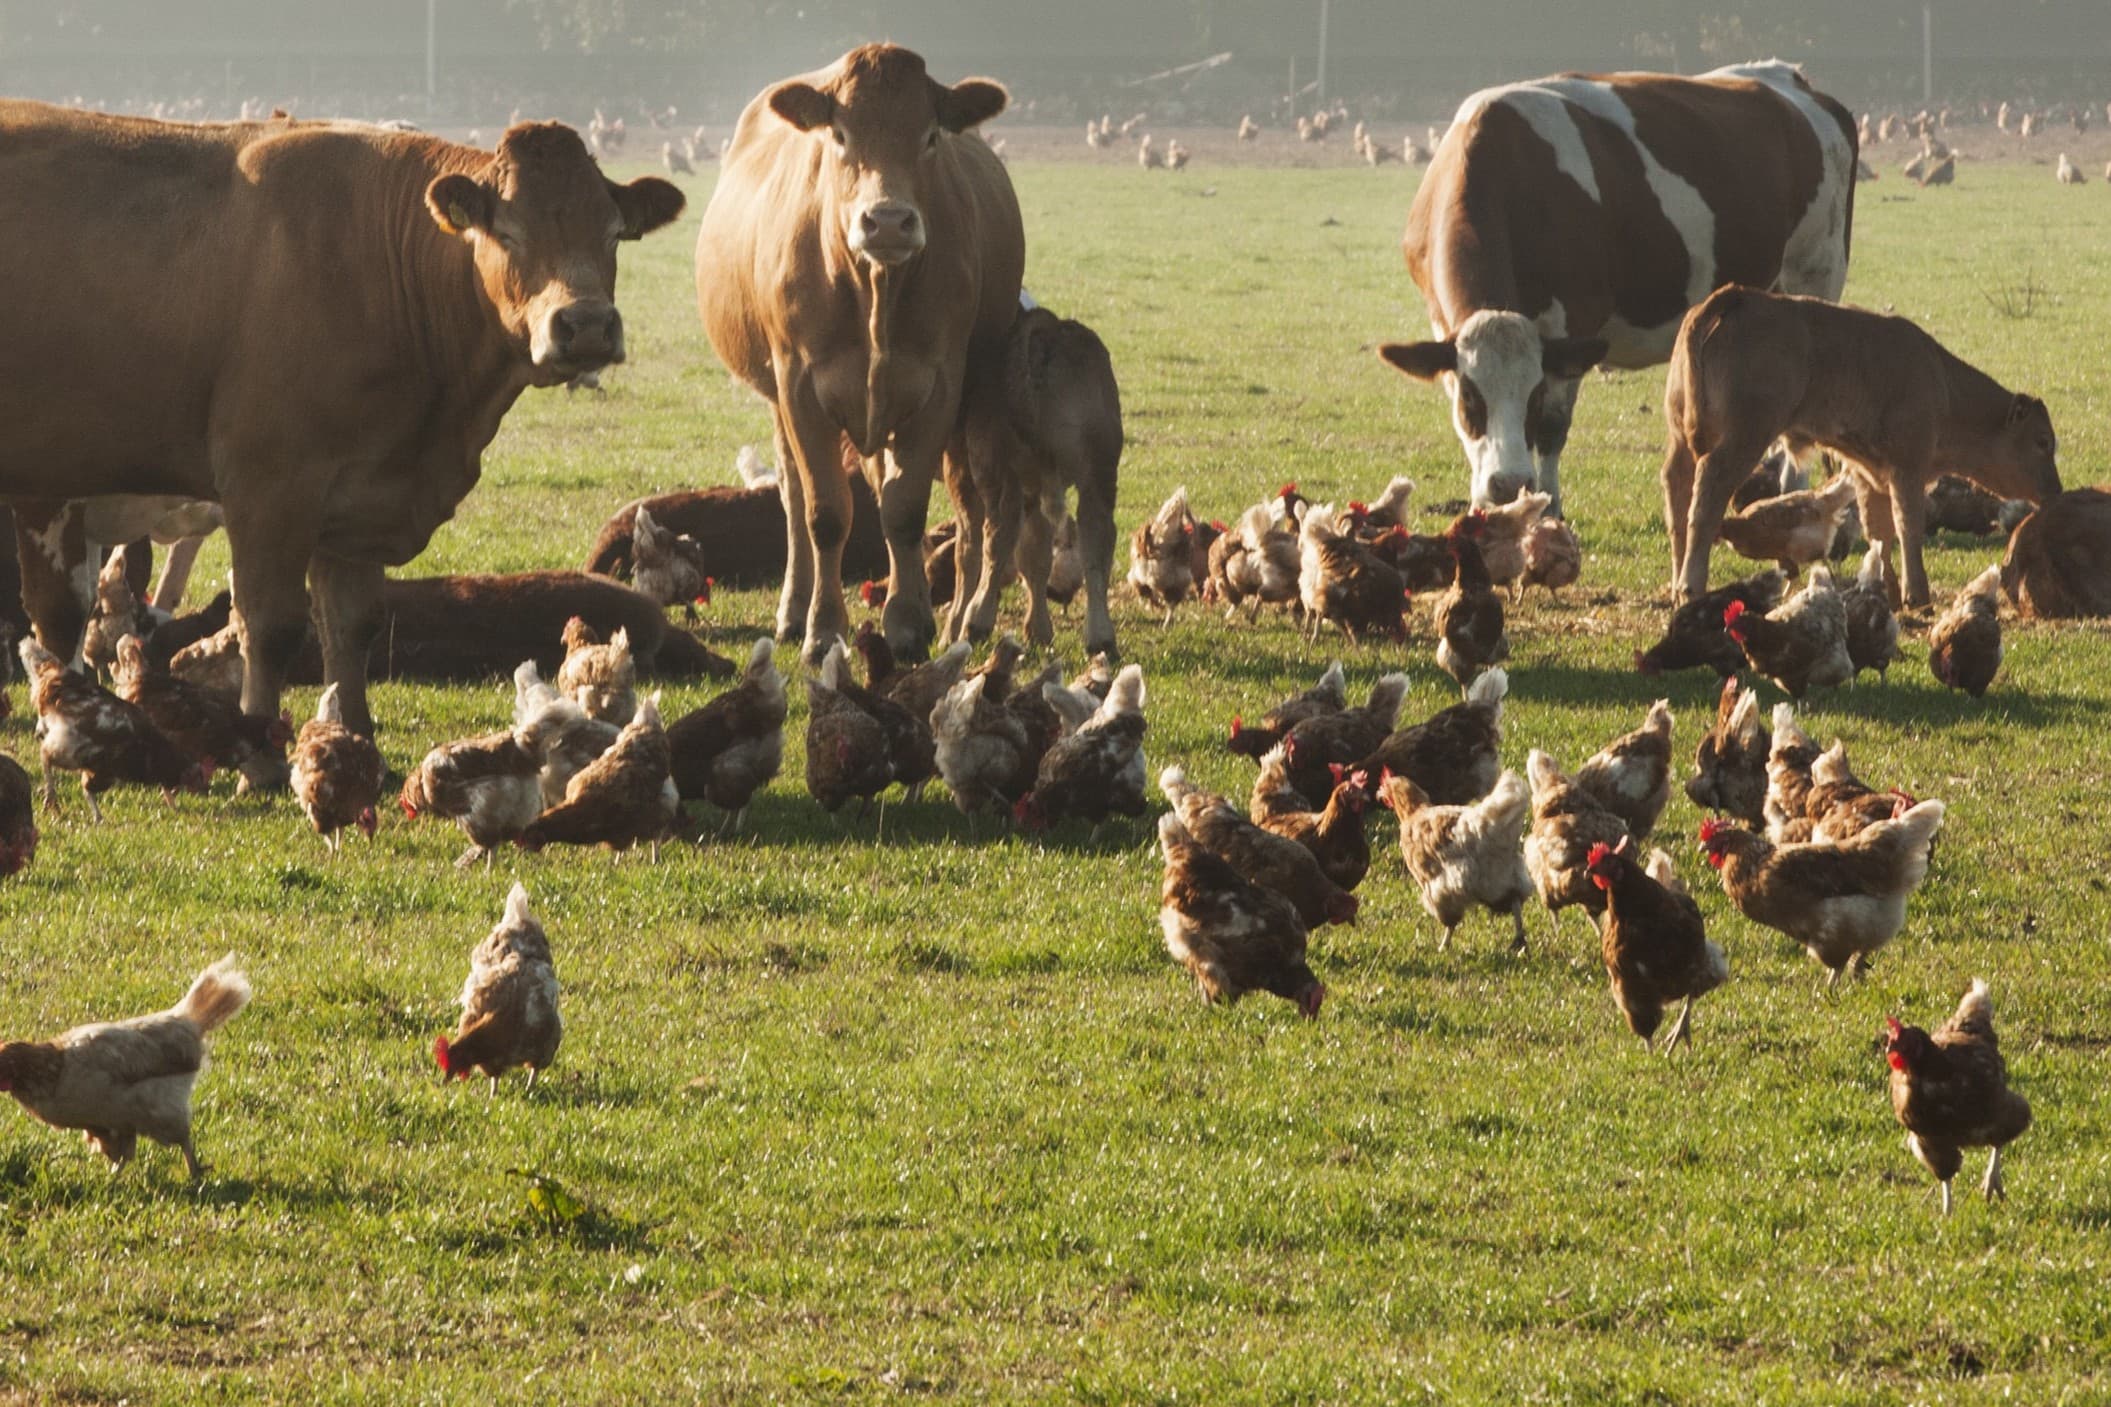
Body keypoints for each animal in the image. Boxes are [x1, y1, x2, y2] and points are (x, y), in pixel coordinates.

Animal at [0, 103, 685, 750]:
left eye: (614, 234)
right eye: (508, 233)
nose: (587, 325)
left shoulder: (360, 494)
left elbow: (350, 625)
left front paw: (353, 731)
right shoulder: (270, 488)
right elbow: (269, 626)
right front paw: (261, 752)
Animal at [694, 44, 1026, 665]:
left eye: (930, 136)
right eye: (840, 135)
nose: (888, 220)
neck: (873, 285)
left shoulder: (938, 385)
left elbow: (904, 509)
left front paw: (906, 622)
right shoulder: (799, 387)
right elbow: (825, 514)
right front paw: (823, 628)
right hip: (778, 400)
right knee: (793, 496)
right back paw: (793, 609)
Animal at [1378, 63, 1857, 518]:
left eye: (1533, 395)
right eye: (1470, 398)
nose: (1508, 484)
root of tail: (1789, 77)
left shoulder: (1573, 322)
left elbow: (1552, 429)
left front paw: (1549, 506)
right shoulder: (1441, 323)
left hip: (1817, 271)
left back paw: (1792, 490)